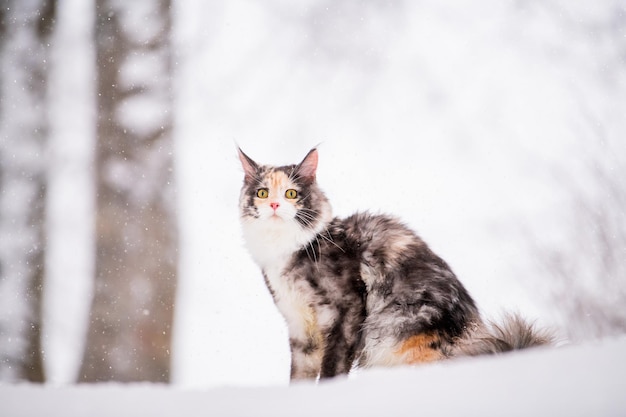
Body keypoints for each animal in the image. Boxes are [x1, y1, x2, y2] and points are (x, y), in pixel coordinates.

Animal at [236, 146, 548, 380]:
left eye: (292, 194)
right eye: (262, 193)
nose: (274, 205)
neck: (285, 250)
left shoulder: (344, 310)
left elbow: (332, 368)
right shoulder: (300, 328)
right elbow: (299, 376)